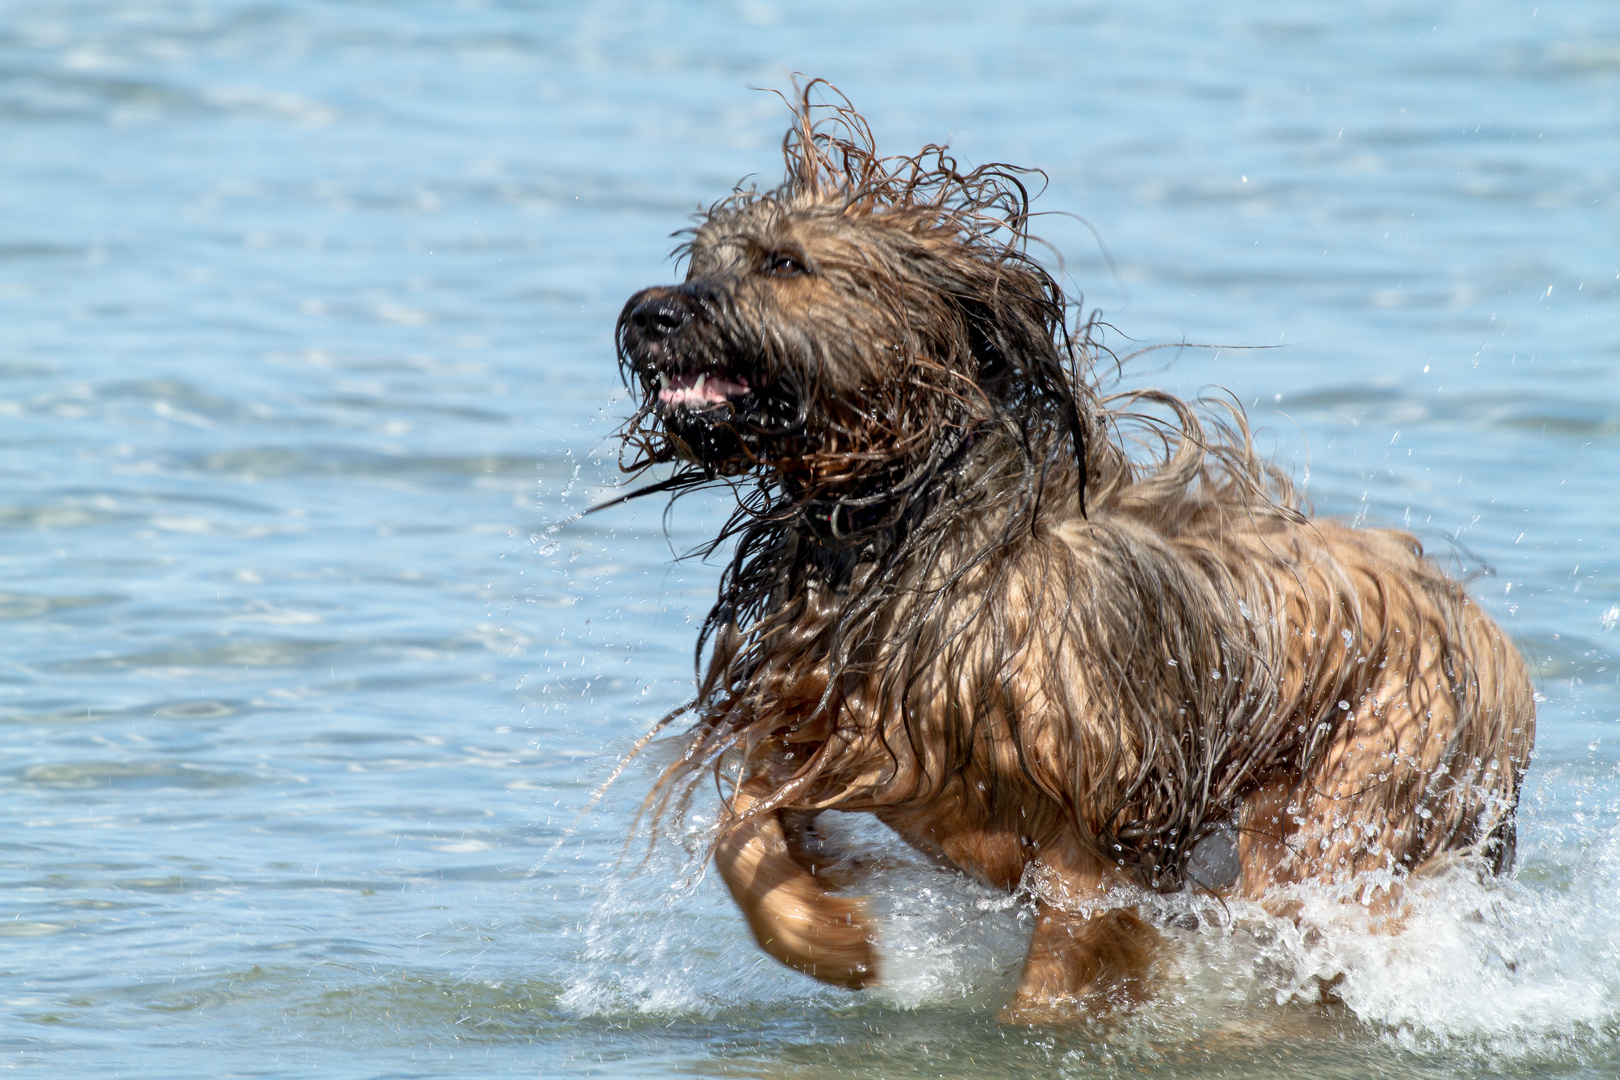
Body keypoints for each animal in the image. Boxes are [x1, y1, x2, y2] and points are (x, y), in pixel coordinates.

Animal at [605, 84, 1529, 1023]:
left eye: (784, 264)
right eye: (700, 263)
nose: (650, 311)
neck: (910, 527)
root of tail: (1493, 639)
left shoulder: (1101, 828)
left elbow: (1060, 967)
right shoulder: (816, 729)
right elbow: (743, 833)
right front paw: (844, 941)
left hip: (1346, 803)